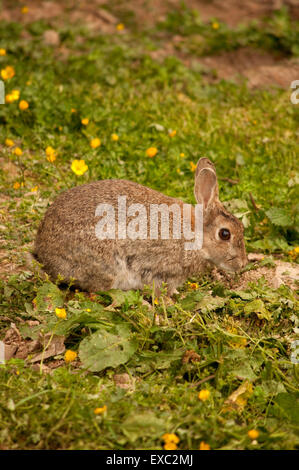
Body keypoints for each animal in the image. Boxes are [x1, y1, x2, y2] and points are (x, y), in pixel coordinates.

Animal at [33, 160, 248, 296]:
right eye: (225, 234)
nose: (243, 264)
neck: (195, 235)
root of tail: (43, 255)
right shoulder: (158, 269)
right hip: (106, 263)